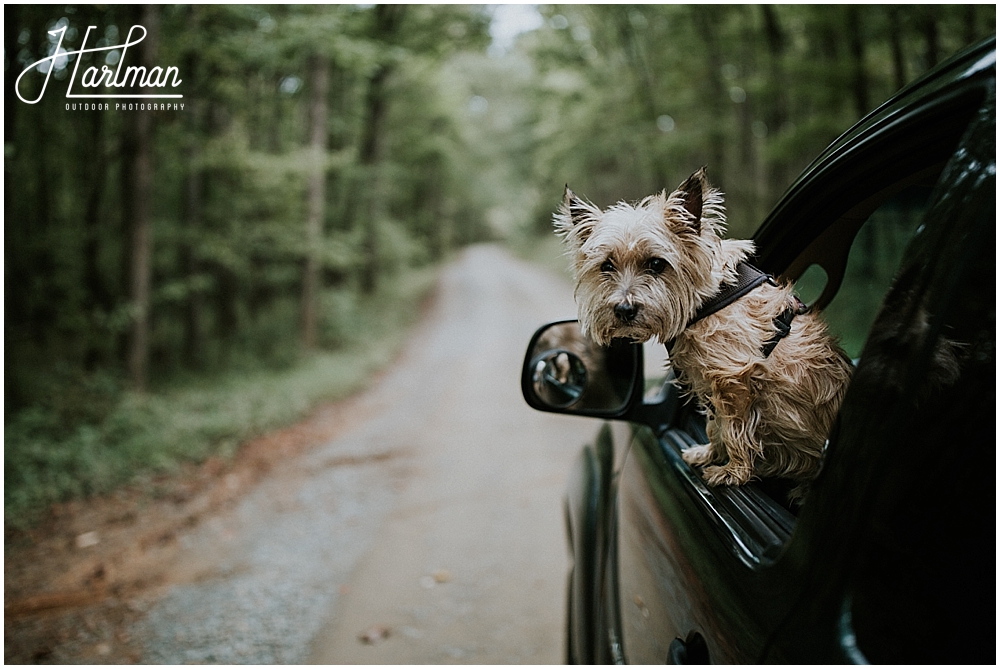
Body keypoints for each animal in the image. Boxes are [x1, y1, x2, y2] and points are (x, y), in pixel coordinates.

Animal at [556, 164, 852, 494]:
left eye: (657, 264)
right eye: (607, 266)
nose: (624, 310)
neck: (708, 299)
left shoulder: (733, 377)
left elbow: (733, 428)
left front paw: (734, 472)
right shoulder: (710, 383)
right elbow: (715, 424)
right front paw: (710, 454)